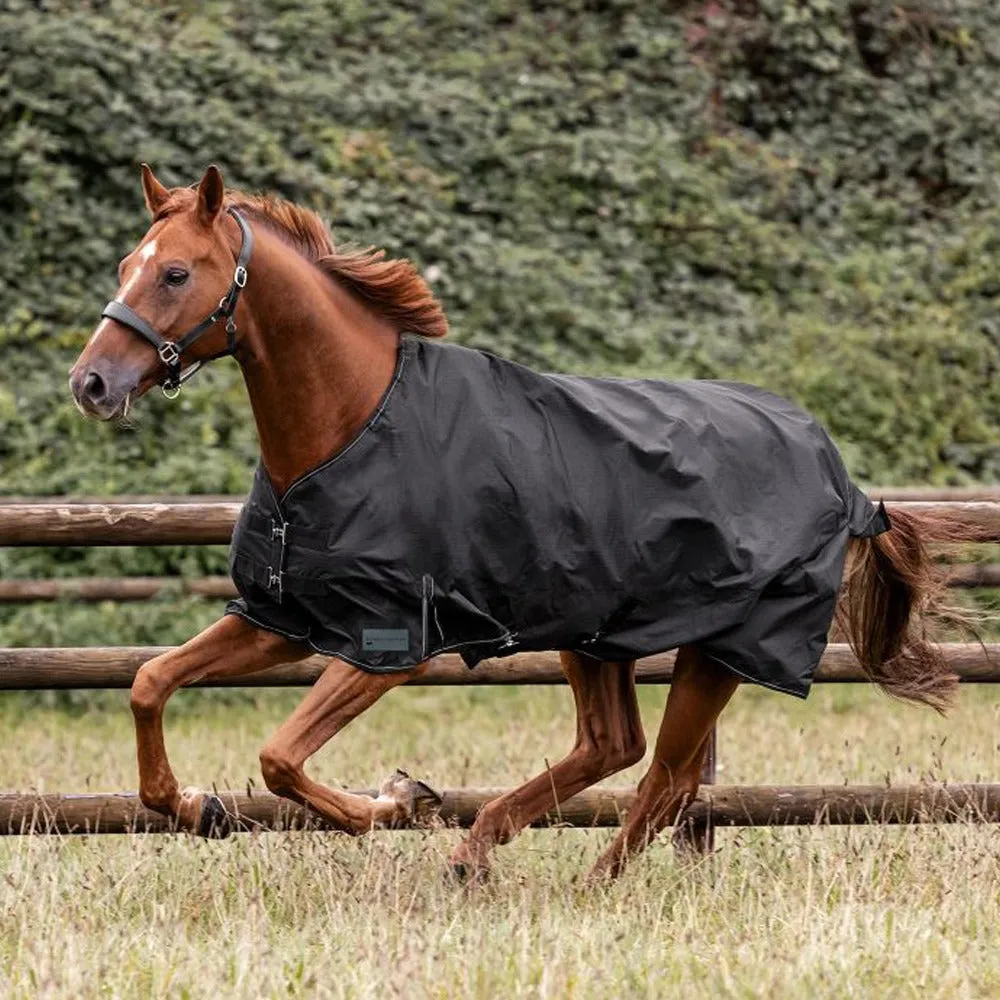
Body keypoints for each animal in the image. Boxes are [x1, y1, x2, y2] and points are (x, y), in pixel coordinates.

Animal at [70, 164, 961, 882]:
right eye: (123, 266)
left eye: (175, 272)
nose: (91, 384)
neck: (350, 427)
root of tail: (841, 475)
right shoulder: (282, 619)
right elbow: (151, 683)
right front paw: (198, 809)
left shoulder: (388, 646)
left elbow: (279, 756)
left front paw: (394, 803)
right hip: (595, 634)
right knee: (613, 746)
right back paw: (482, 853)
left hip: (721, 650)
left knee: (665, 776)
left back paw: (577, 884)